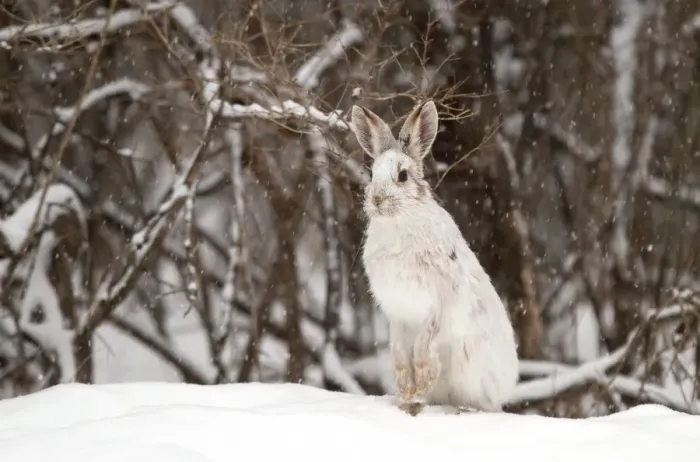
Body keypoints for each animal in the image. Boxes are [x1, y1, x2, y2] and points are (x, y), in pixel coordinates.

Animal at [349, 100, 519, 415]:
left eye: (403, 175)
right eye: (372, 174)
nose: (376, 200)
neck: (399, 220)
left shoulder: (435, 307)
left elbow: (422, 352)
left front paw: (416, 392)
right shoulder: (397, 314)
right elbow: (400, 358)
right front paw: (406, 396)